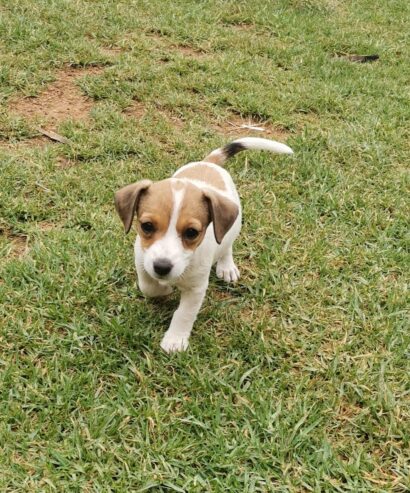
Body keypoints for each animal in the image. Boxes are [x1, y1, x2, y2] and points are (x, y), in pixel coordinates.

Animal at [115, 138, 294, 352]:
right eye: (146, 226)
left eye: (191, 232)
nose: (162, 267)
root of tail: (210, 163)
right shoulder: (142, 259)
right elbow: (148, 286)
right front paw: (164, 290)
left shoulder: (196, 288)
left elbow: (184, 314)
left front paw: (175, 340)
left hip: (233, 225)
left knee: (226, 244)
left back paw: (227, 266)